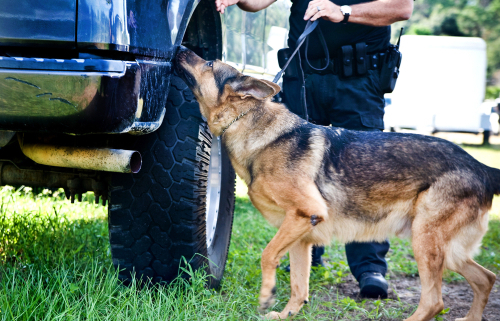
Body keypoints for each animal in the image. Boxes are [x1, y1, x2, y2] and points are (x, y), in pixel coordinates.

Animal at [174, 47, 498, 320]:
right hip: (447, 250)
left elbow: (267, 256)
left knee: (434, 301)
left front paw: (266, 296)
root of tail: (480, 167)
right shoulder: (300, 235)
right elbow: (299, 286)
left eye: (209, 62)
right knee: (486, 279)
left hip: (426, 241)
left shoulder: (304, 214)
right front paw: (287, 314)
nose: (179, 48)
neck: (251, 123)